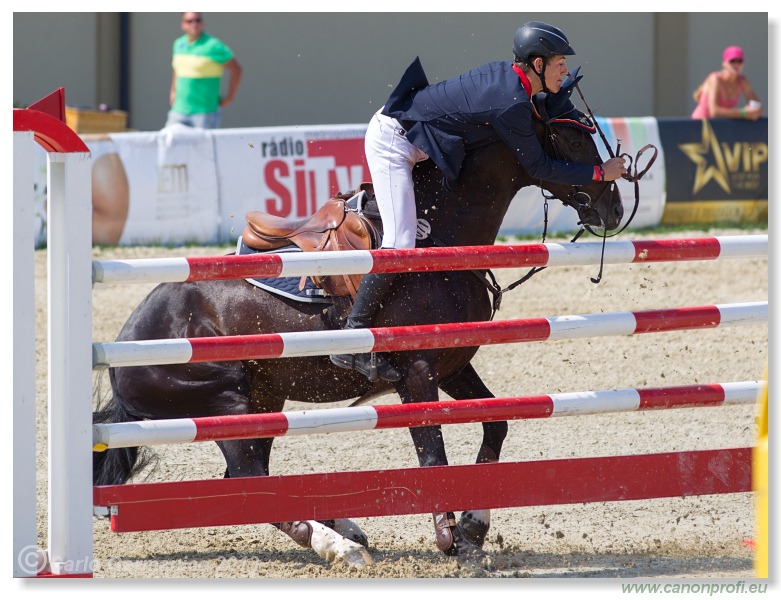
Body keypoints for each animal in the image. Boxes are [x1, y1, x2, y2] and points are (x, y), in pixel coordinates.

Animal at [94, 98, 624, 568]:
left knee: (252, 483)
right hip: (227, 404)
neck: (436, 239)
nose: (615, 209)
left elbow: (496, 423)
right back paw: (337, 545)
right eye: (573, 138)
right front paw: (450, 538)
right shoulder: (417, 374)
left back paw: (344, 529)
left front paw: (474, 526)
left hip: (262, 404)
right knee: (248, 477)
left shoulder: (453, 366)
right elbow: (433, 455)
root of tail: (127, 340)